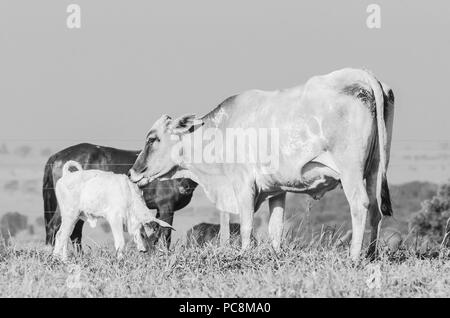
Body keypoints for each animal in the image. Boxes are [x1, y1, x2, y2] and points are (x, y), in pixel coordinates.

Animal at [43, 143, 197, 250]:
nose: (184, 187)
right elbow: (166, 235)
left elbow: (156, 233)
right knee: (54, 227)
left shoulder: (160, 209)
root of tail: (56, 156)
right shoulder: (166, 206)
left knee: (74, 232)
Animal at [129, 68, 398, 260]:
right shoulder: (277, 189)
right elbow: (275, 227)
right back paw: (371, 255)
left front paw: (244, 255)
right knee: (376, 209)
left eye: (152, 139)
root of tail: (362, 75)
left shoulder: (243, 185)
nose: (132, 172)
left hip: (351, 171)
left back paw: (354, 256)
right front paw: (275, 255)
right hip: (375, 168)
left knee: (360, 205)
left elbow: (246, 225)